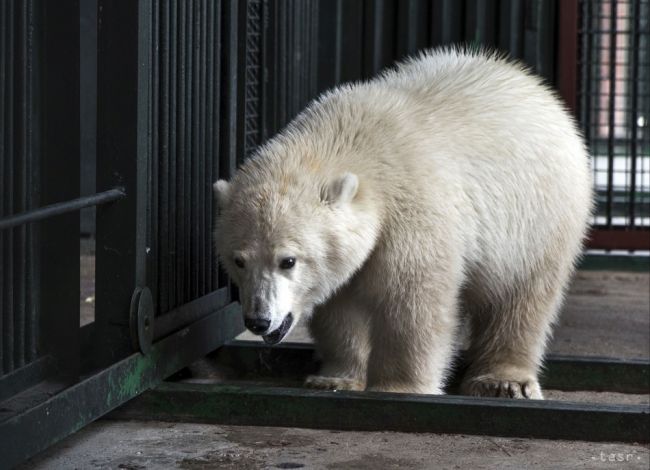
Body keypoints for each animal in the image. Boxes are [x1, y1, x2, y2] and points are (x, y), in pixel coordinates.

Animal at [214, 48, 592, 400]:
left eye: (288, 260)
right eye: (239, 260)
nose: (258, 320)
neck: (352, 143)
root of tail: (536, 87)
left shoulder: (412, 211)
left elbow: (412, 303)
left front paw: (399, 387)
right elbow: (340, 305)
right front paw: (334, 377)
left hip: (537, 218)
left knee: (522, 297)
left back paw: (502, 380)